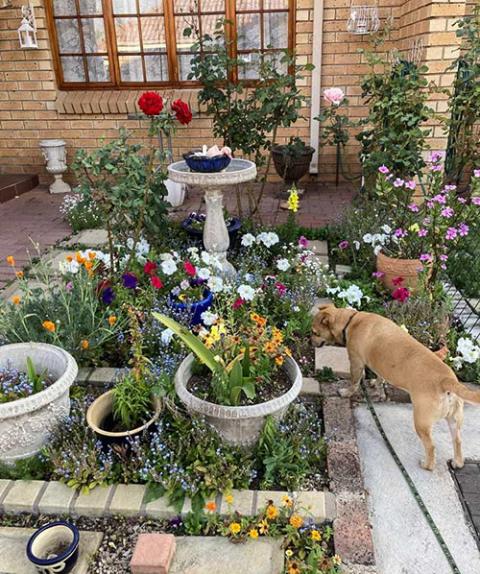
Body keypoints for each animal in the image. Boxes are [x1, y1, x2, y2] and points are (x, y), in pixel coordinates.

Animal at [312, 306, 480, 472]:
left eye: (315, 332)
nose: (310, 341)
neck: (350, 320)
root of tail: (447, 381)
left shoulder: (356, 362)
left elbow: (354, 381)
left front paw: (346, 393)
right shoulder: (379, 365)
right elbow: (380, 378)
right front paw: (376, 385)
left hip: (421, 422)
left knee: (431, 447)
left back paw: (427, 465)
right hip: (454, 420)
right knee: (457, 441)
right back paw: (458, 462)